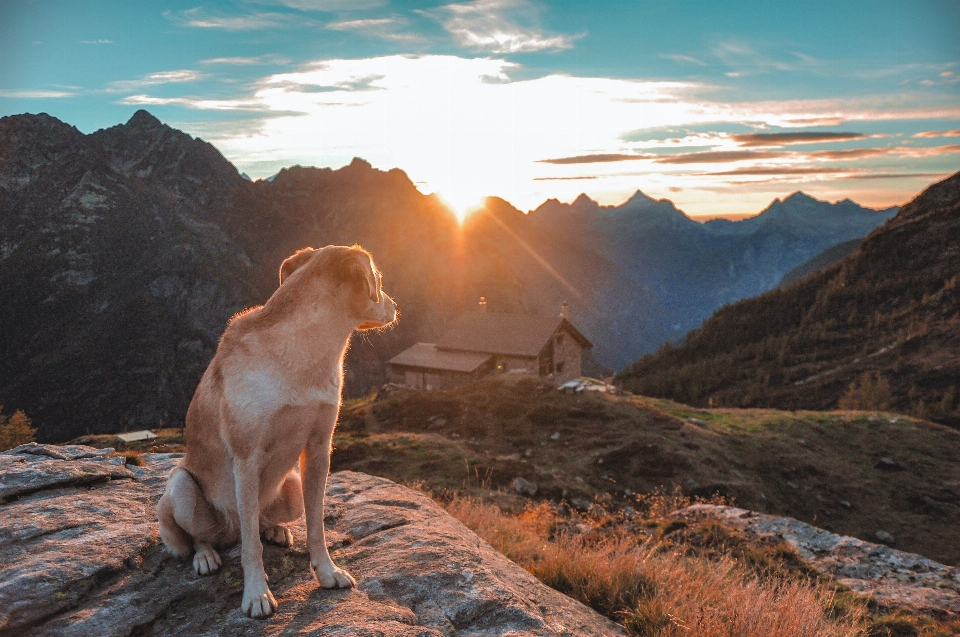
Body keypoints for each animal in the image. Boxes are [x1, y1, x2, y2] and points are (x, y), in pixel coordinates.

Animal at [158, 242, 398, 616]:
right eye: (379, 279)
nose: (396, 306)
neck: (303, 350)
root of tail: (227, 531)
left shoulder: (318, 450)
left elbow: (316, 526)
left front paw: (327, 572)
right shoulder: (246, 460)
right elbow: (250, 549)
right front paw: (256, 594)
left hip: (292, 488)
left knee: (258, 523)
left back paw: (275, 530)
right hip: (182, 487)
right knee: (206, 535)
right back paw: (206, 555)